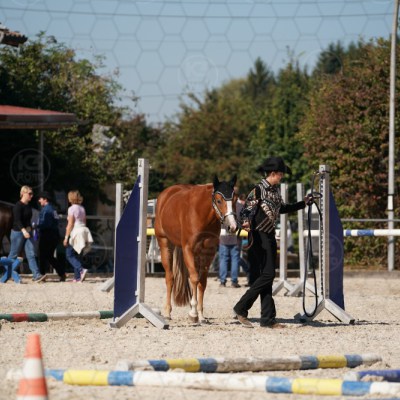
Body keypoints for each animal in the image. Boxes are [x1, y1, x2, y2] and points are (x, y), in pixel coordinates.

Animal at [154, 175, 238, 324]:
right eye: (218, 200)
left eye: (234, 199)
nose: (232, 227)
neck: (201, 214)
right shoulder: (188, 249)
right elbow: (194, 278)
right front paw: (193, 313)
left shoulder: (208, 252)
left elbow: (202, 282)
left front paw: (201, 315)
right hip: (165, 244)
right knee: (170, 277)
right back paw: (167, 312)